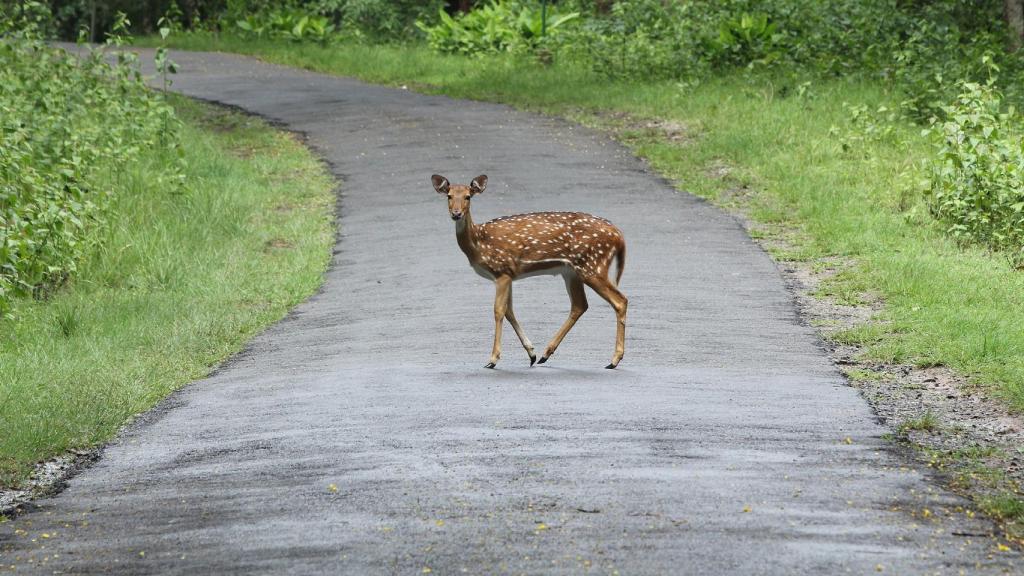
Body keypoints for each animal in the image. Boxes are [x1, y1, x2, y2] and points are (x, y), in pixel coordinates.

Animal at [430, 172, 626, 366]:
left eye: (468, 196)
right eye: (449, 196)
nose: (456, 214)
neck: (479, 244)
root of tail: (619, 235)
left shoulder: (501, 270)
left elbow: (498, 311)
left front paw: (493, 359)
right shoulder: (509, 274)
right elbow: (509, 311)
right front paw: (531, 353)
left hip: (592, 265)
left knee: (620, 301)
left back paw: (614, 359)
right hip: (572, 271)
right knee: (580, 305)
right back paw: (545, 354)